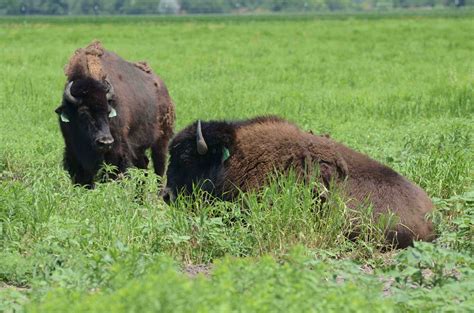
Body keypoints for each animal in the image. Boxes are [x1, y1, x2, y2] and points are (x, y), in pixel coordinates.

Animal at [55, 42, 174, 188]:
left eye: (108, 111)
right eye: (83, 113)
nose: (105, 142)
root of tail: (162, 87)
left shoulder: (117, 151)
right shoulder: (73, 153)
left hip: (161, 141)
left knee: (159, 170)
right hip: (139, 149)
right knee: (144, 166)